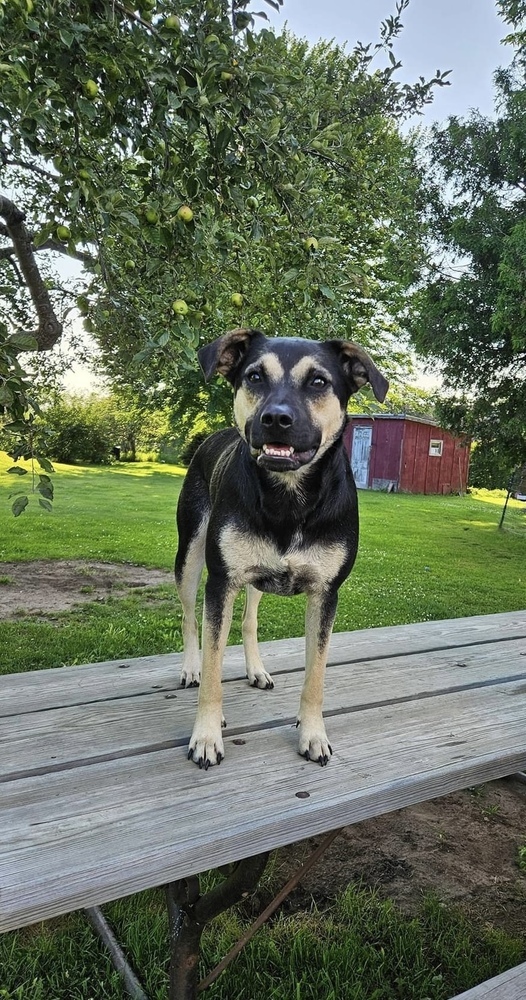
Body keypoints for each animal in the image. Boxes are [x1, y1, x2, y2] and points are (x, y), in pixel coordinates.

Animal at [176, 326, 388, 764]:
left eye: (319, 382)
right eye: (255, 376)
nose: (275, 418)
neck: (288, 498)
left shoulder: (326, 593)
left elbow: (316, 675)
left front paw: (313, 733)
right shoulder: (220, 583)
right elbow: (213, 663)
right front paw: (206, 735)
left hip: (257, 577)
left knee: (249, 620)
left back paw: (256, 668)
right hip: (189, 555)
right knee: (190, 619)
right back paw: (190, 667)